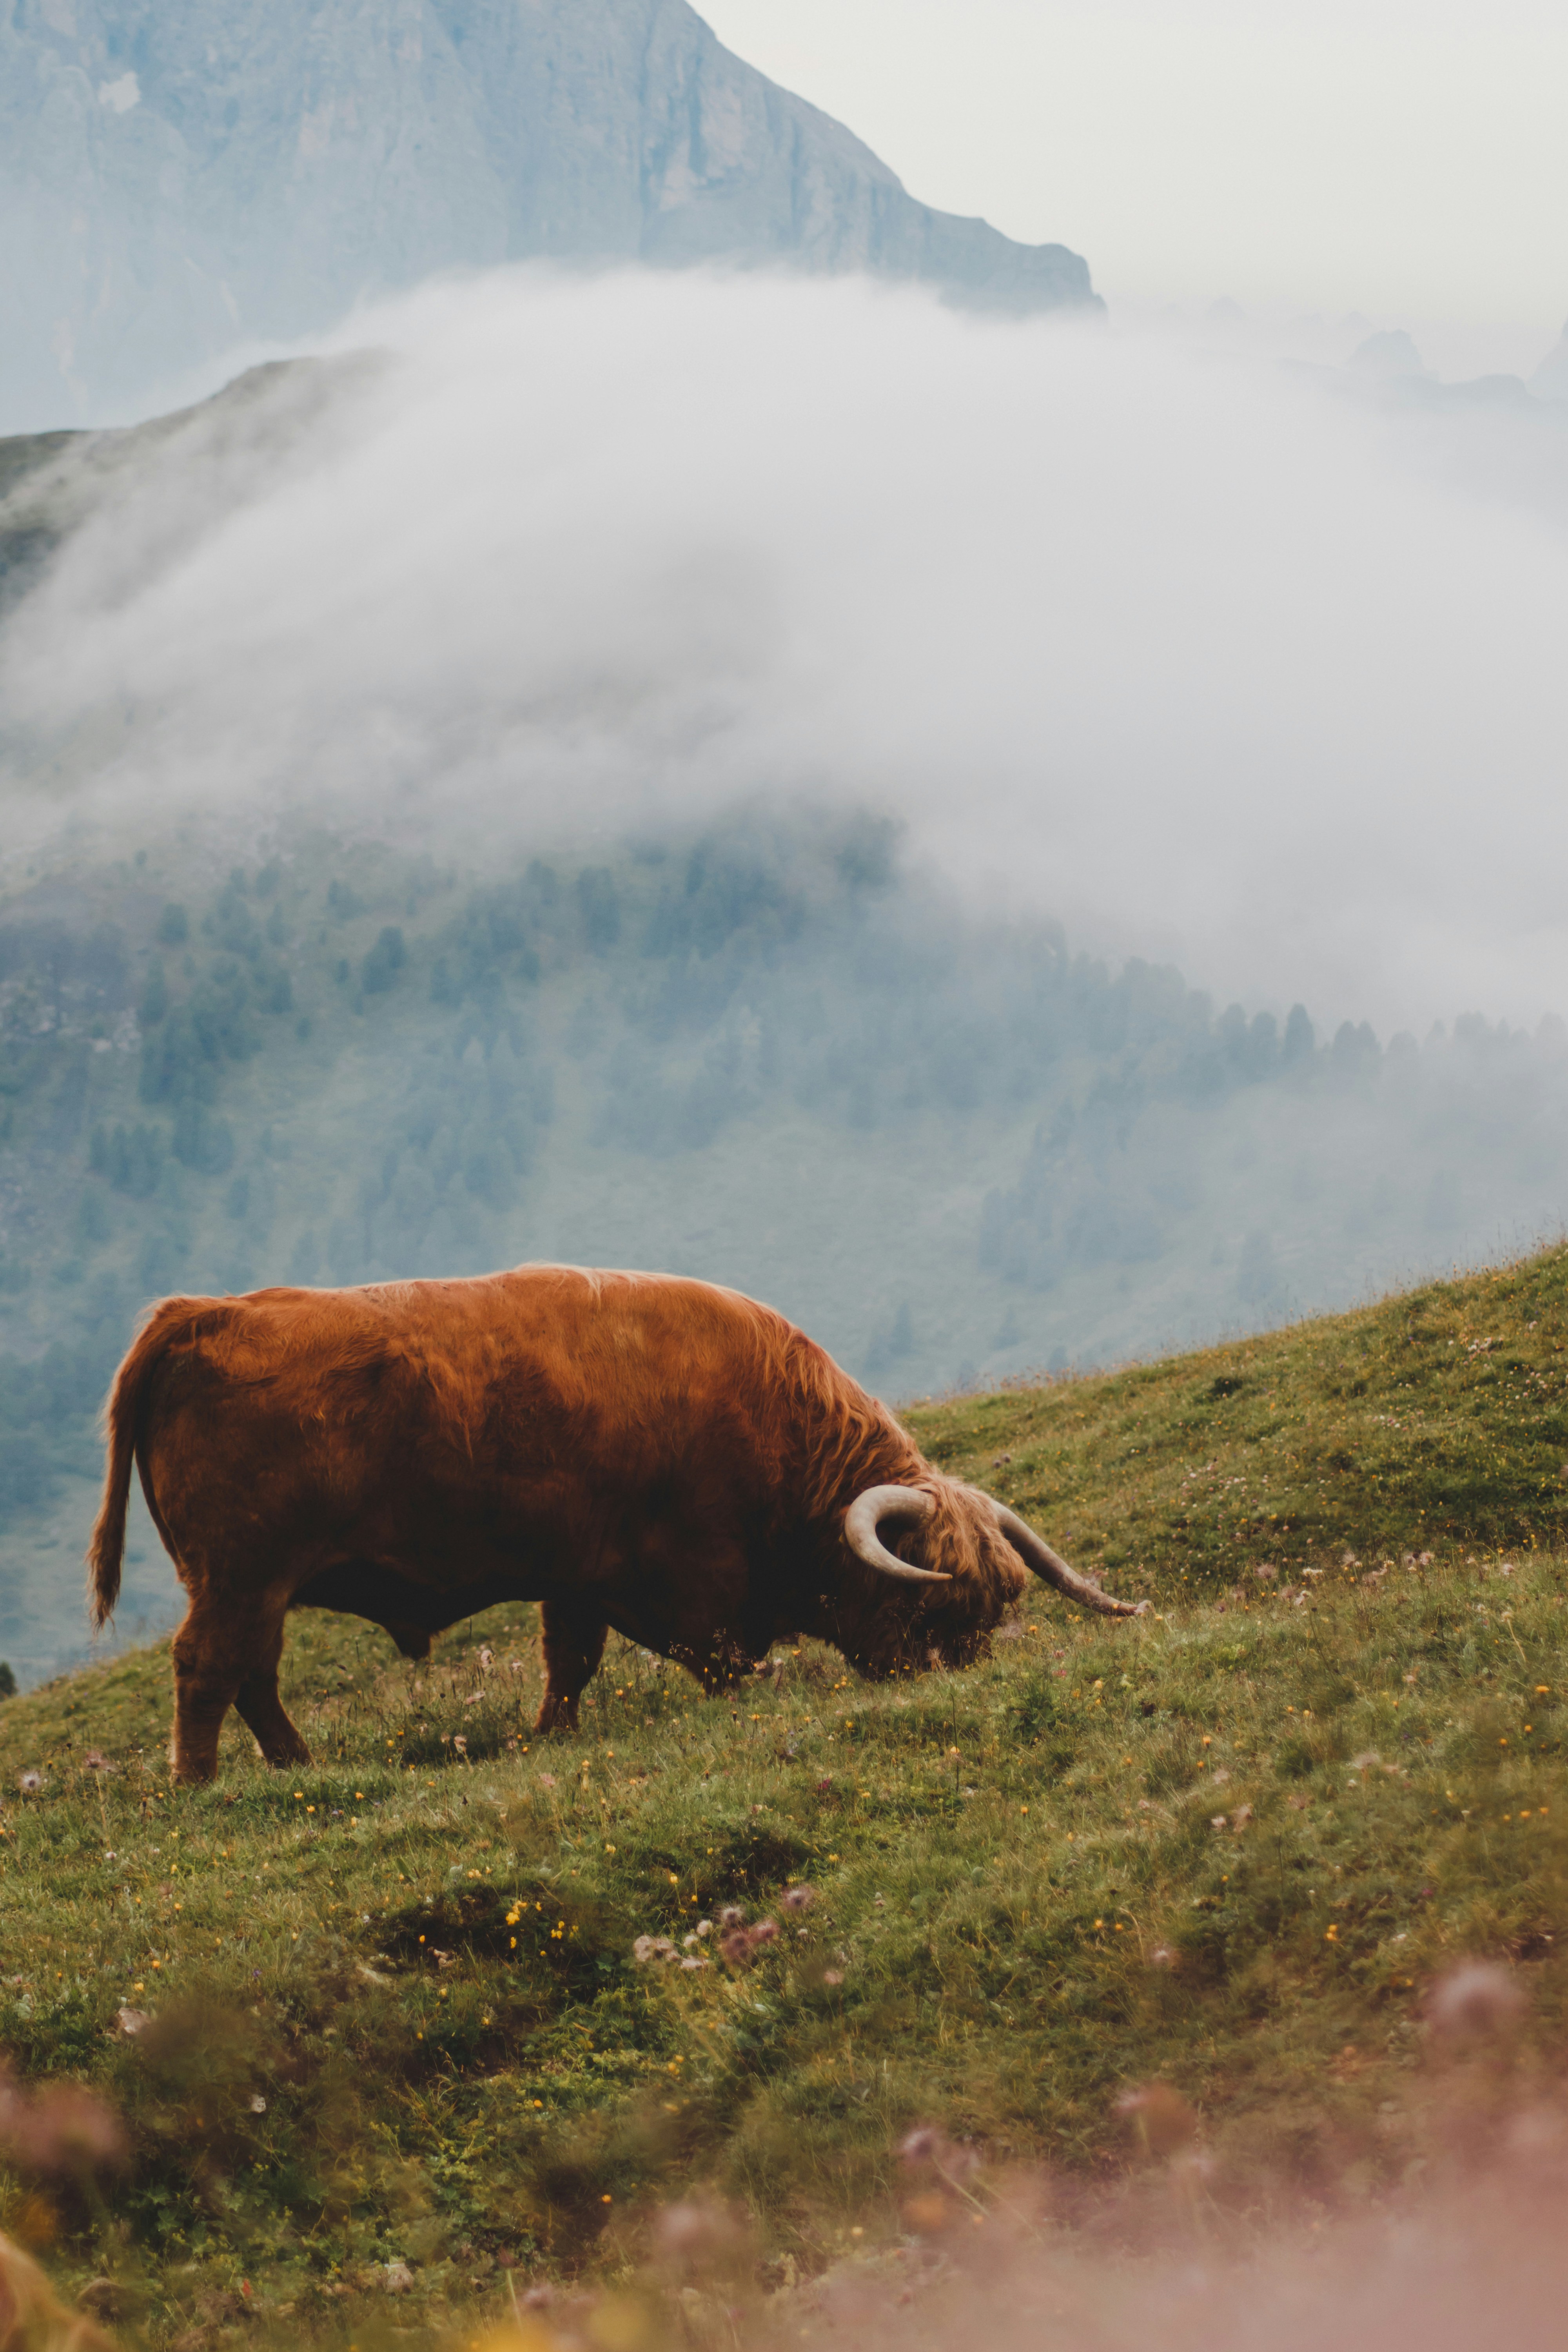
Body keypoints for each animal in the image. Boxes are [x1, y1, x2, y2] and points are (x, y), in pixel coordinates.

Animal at [87, 1265, 1142, 1784]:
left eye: (993, 1611)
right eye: (934, 1609)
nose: (956, 1684)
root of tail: (201, 1314)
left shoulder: (576, 1569)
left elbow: (570, 1660)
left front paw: (549, 1734)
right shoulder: (689, 1575)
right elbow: (718, 1658)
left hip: (256, 1584)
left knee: (253, 1675)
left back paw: (297, 1769)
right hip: (238, 1573)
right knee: (208, 1668)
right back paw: (199, 1784)